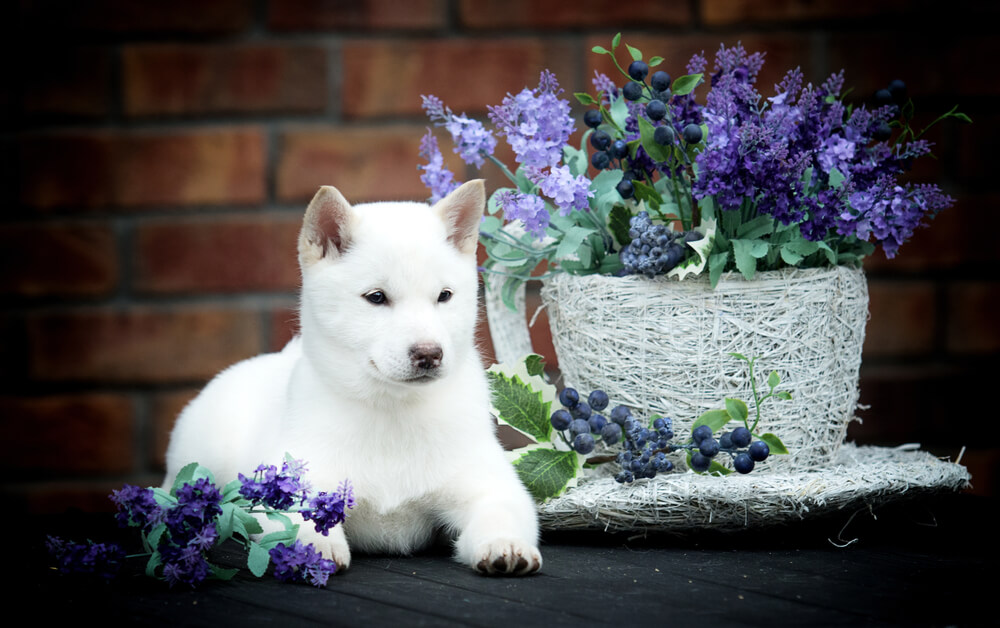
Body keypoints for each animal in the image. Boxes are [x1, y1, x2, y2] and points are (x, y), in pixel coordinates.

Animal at [164, 180, 544, 576]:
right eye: (376, 297)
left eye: (445, 296)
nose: (429, 354)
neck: (393, 412)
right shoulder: (290, 487)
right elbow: (299, 520)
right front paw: (314, 549)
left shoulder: (491, 484)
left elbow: (500, 512)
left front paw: (505, 544)